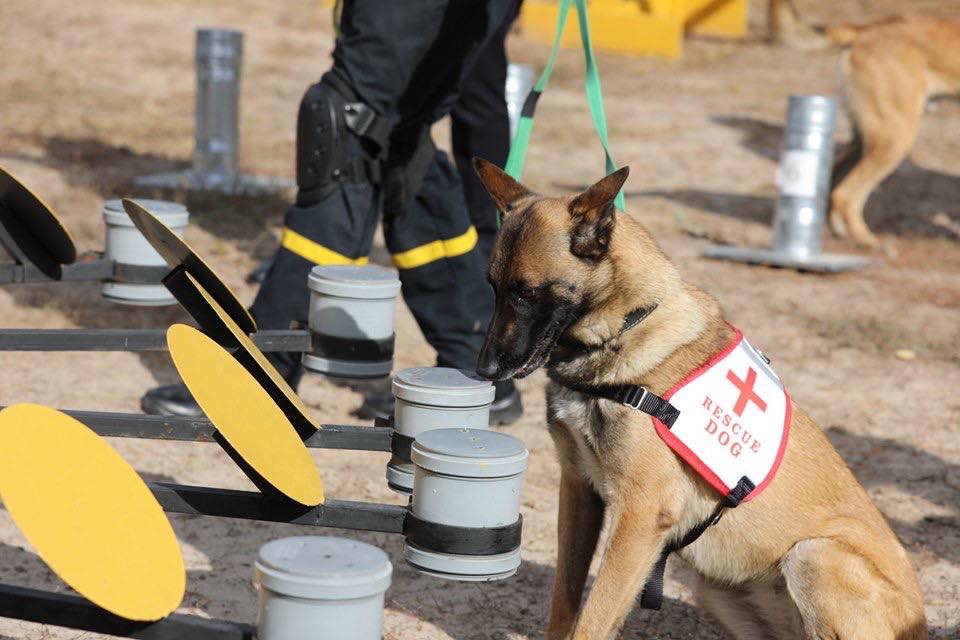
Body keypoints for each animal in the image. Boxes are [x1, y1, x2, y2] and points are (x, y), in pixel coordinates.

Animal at [470, 156, 924, 640]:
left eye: (527, 292)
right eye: (492, 286)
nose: (485, 370)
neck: (624, 329)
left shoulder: (640, 516)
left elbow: (592, 620)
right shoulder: (579, 489)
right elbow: (565, 601)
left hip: (813, 556)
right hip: (718, 588)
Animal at [772, 0, 960, 250]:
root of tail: (865, 30)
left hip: (866, 137)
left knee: (833, 183)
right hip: (894, 138)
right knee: (846, 195)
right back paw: (868, 241)